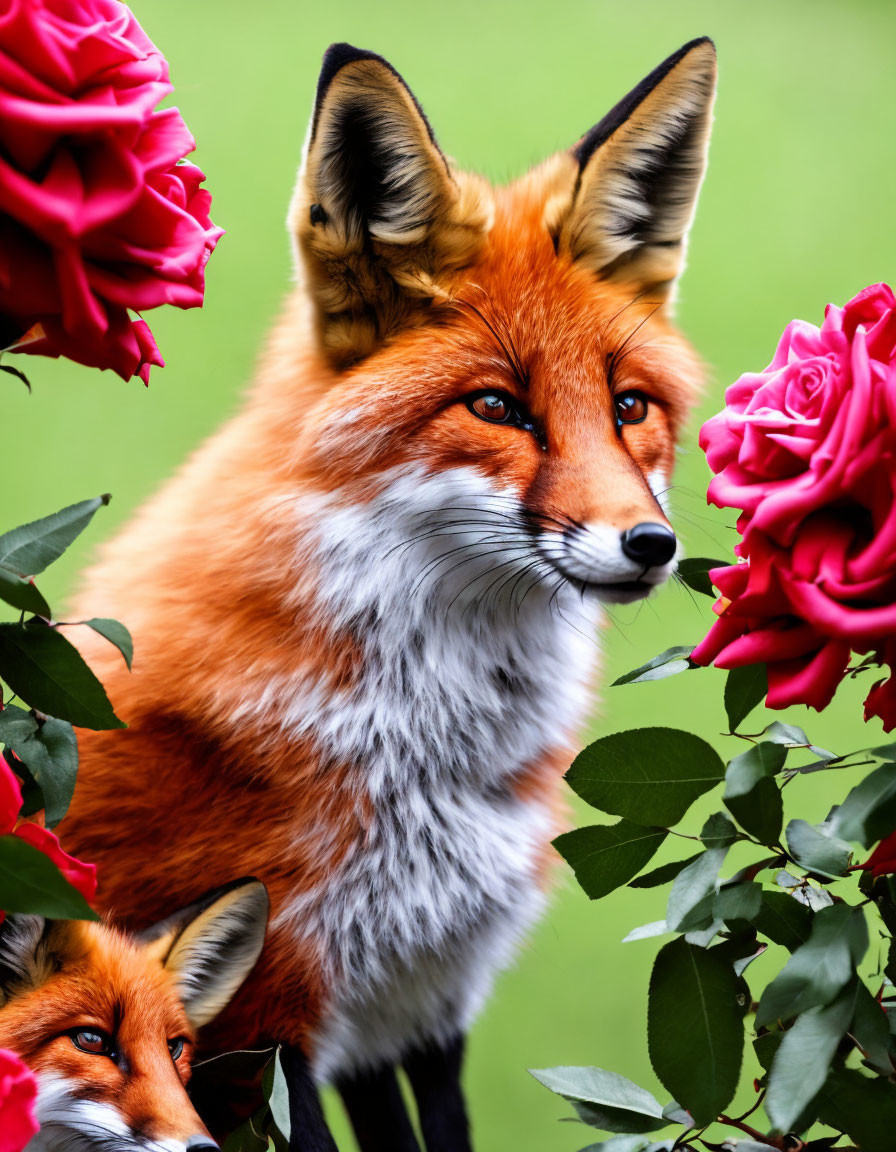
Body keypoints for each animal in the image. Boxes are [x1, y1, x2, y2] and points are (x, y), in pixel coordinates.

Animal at [62, 36, 714, 1152]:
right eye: (496, 407)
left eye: (629, 407)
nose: (649, 546)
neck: (425, 758)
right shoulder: (264, 1027)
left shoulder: (418, 1007)